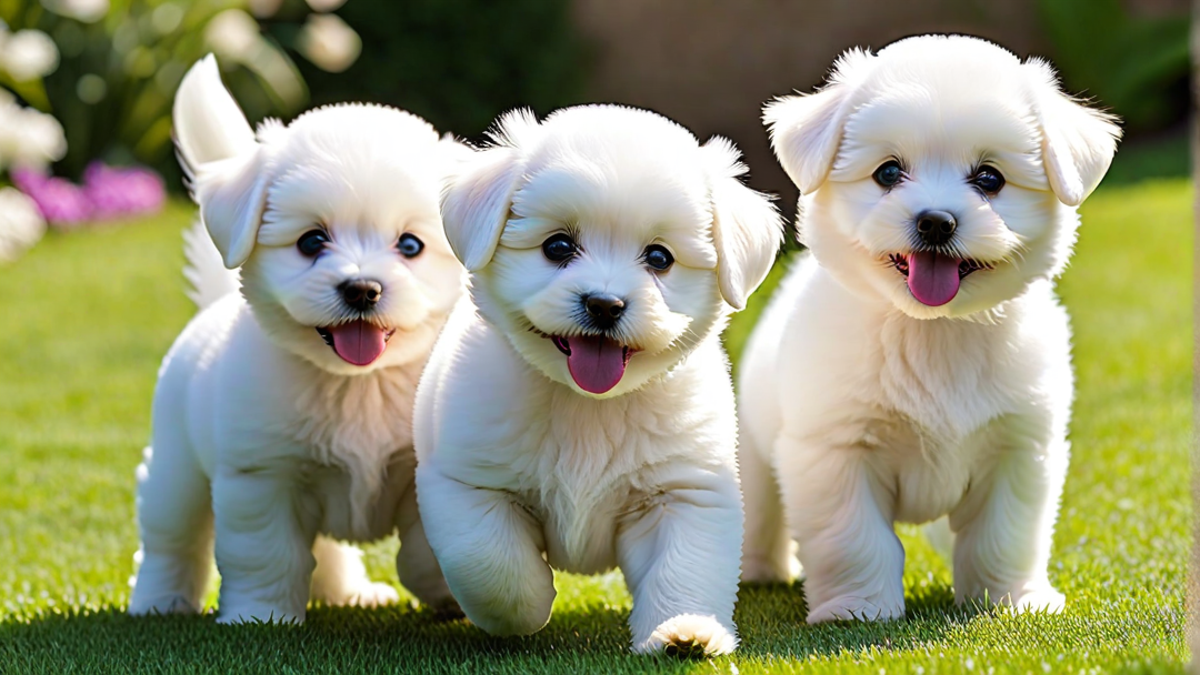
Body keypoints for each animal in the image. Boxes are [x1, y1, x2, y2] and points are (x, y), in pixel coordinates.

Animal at [129, 56, 468, 619]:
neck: (360, 385)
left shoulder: (424, 470)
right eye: (311, 241)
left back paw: (351, 593)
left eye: (410, 245)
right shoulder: (262, 475)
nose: (362, 288)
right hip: (177, 469)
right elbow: (267, 554)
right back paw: (160, 600)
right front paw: (259, 615)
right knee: (172, 539)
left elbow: (426, 547)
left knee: (329, 552)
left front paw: (449, 593)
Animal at [417, 105, 782, 653]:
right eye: (558, 246)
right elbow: (491, 565)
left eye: (659, 258)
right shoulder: (468, 483)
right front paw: (532, 604)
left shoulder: (684, 491)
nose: (605, 304)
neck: (589, 405)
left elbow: (685, 568)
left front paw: (684, 630)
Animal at [734, 35, 1118, 619]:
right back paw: (758, 570)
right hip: (754, 454)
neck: (933, 332)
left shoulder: (1019, 447)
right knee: (759, 515)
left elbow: (1004, 535)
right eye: (888, 173)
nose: (936, 221)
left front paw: (1012, 599)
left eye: (990, 179)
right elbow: (856, 538)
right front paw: (858, 607)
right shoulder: (835, 450)